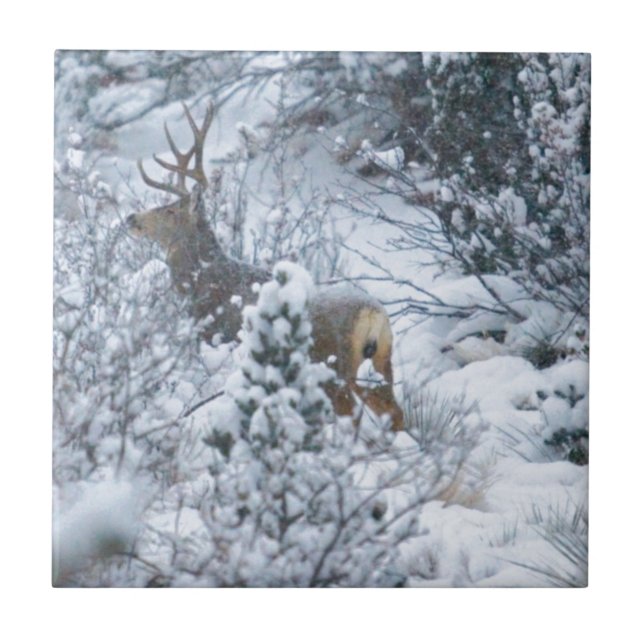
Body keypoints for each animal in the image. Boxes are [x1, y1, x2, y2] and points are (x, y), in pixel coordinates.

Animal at [127, 101, 404, 431]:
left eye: (169, 211)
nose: (131, 218)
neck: (203, 284)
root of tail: (372, 315)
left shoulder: (216, 337)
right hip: (381, 363)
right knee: (397, 415)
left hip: (331, 370)